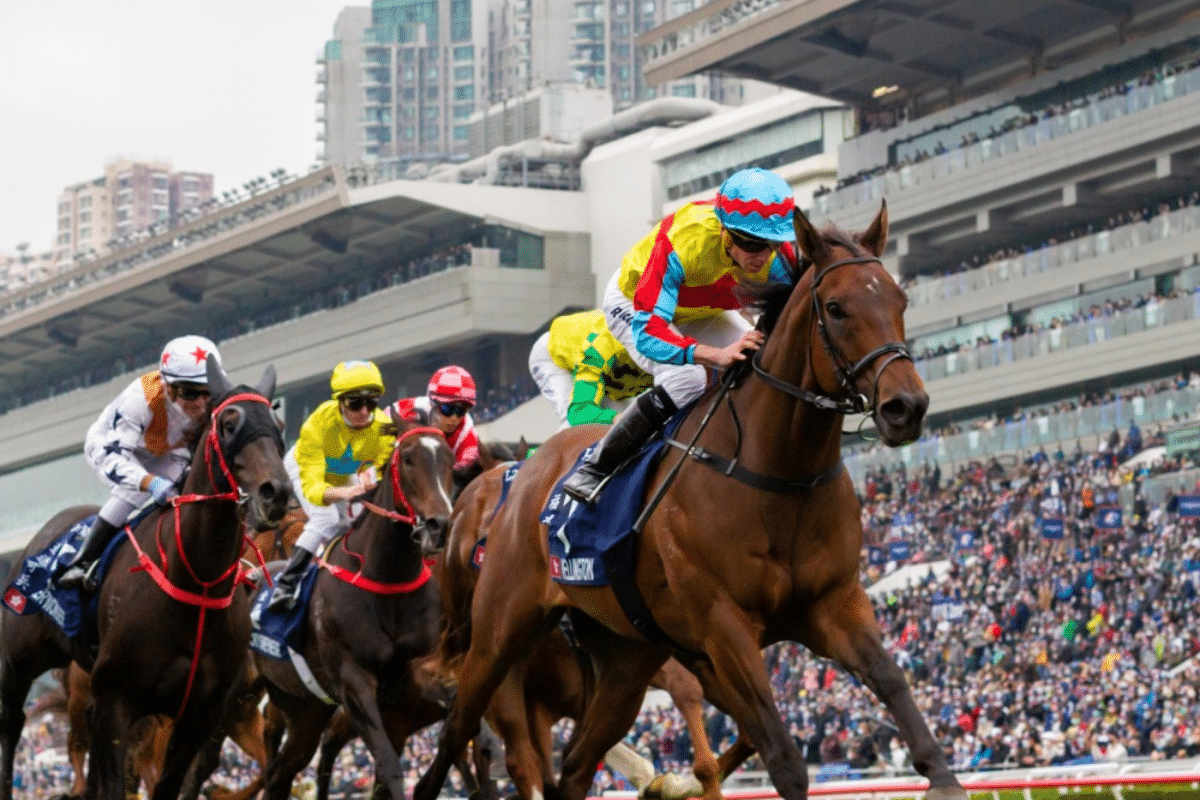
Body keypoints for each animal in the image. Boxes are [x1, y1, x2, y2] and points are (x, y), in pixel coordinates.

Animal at [0, 357, 291, 800]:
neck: (195, 582)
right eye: (228, 424)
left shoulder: (202, 715)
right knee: (11, 720)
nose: (276, 492)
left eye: (278, 424)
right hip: (19, 660)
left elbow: (171, 782)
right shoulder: (115, 701)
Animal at [252, 417, 459, 800]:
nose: (439, 526)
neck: (387, 581)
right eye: (408, 459)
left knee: (281, 773)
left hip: (306, 709)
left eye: (449, 460)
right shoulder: (354, 682)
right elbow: (389, 766)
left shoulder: (414, 677)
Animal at [412, 202, 969, 800]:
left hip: (626, 658)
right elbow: (779, 750)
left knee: (576, 766)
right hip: (498, 636)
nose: (905, 407)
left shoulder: (834, 604)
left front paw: (941, 776)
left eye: (899, 299)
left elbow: (889, 678)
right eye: (837, 308)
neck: (776, 475)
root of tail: (519, 481)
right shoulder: (723, 629)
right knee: (459, 732)